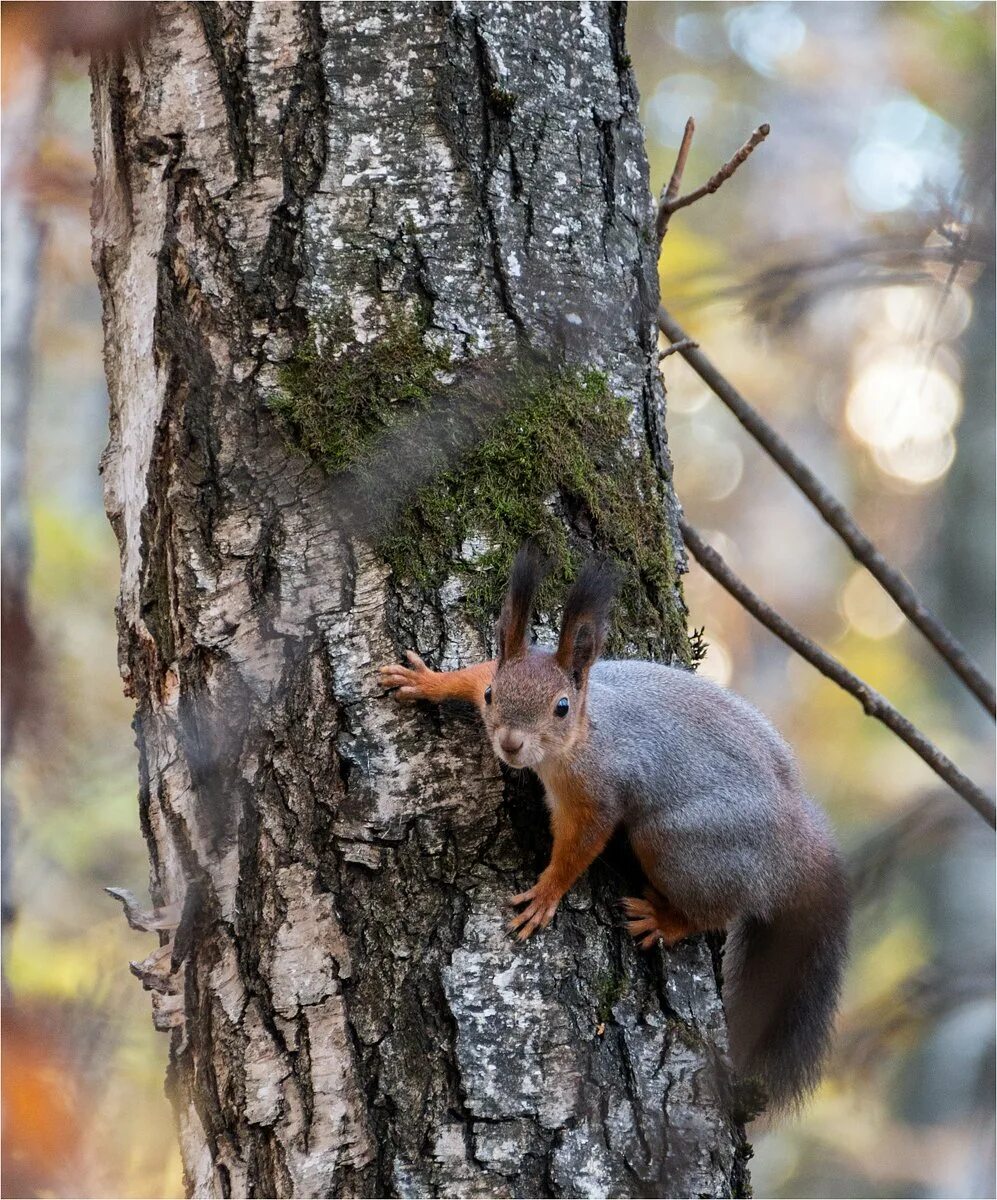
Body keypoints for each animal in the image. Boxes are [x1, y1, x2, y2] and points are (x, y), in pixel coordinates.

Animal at [379, 542, 849, 1104]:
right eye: (493, 695)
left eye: (561, 707)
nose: (510, 744)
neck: (586, 729)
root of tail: (793, 844)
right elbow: (470, 672)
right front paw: (425, 680)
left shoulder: (596, 793)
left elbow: (582, 844)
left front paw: (545, 895)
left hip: (679, 845)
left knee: (716, 912)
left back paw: (665, 921)